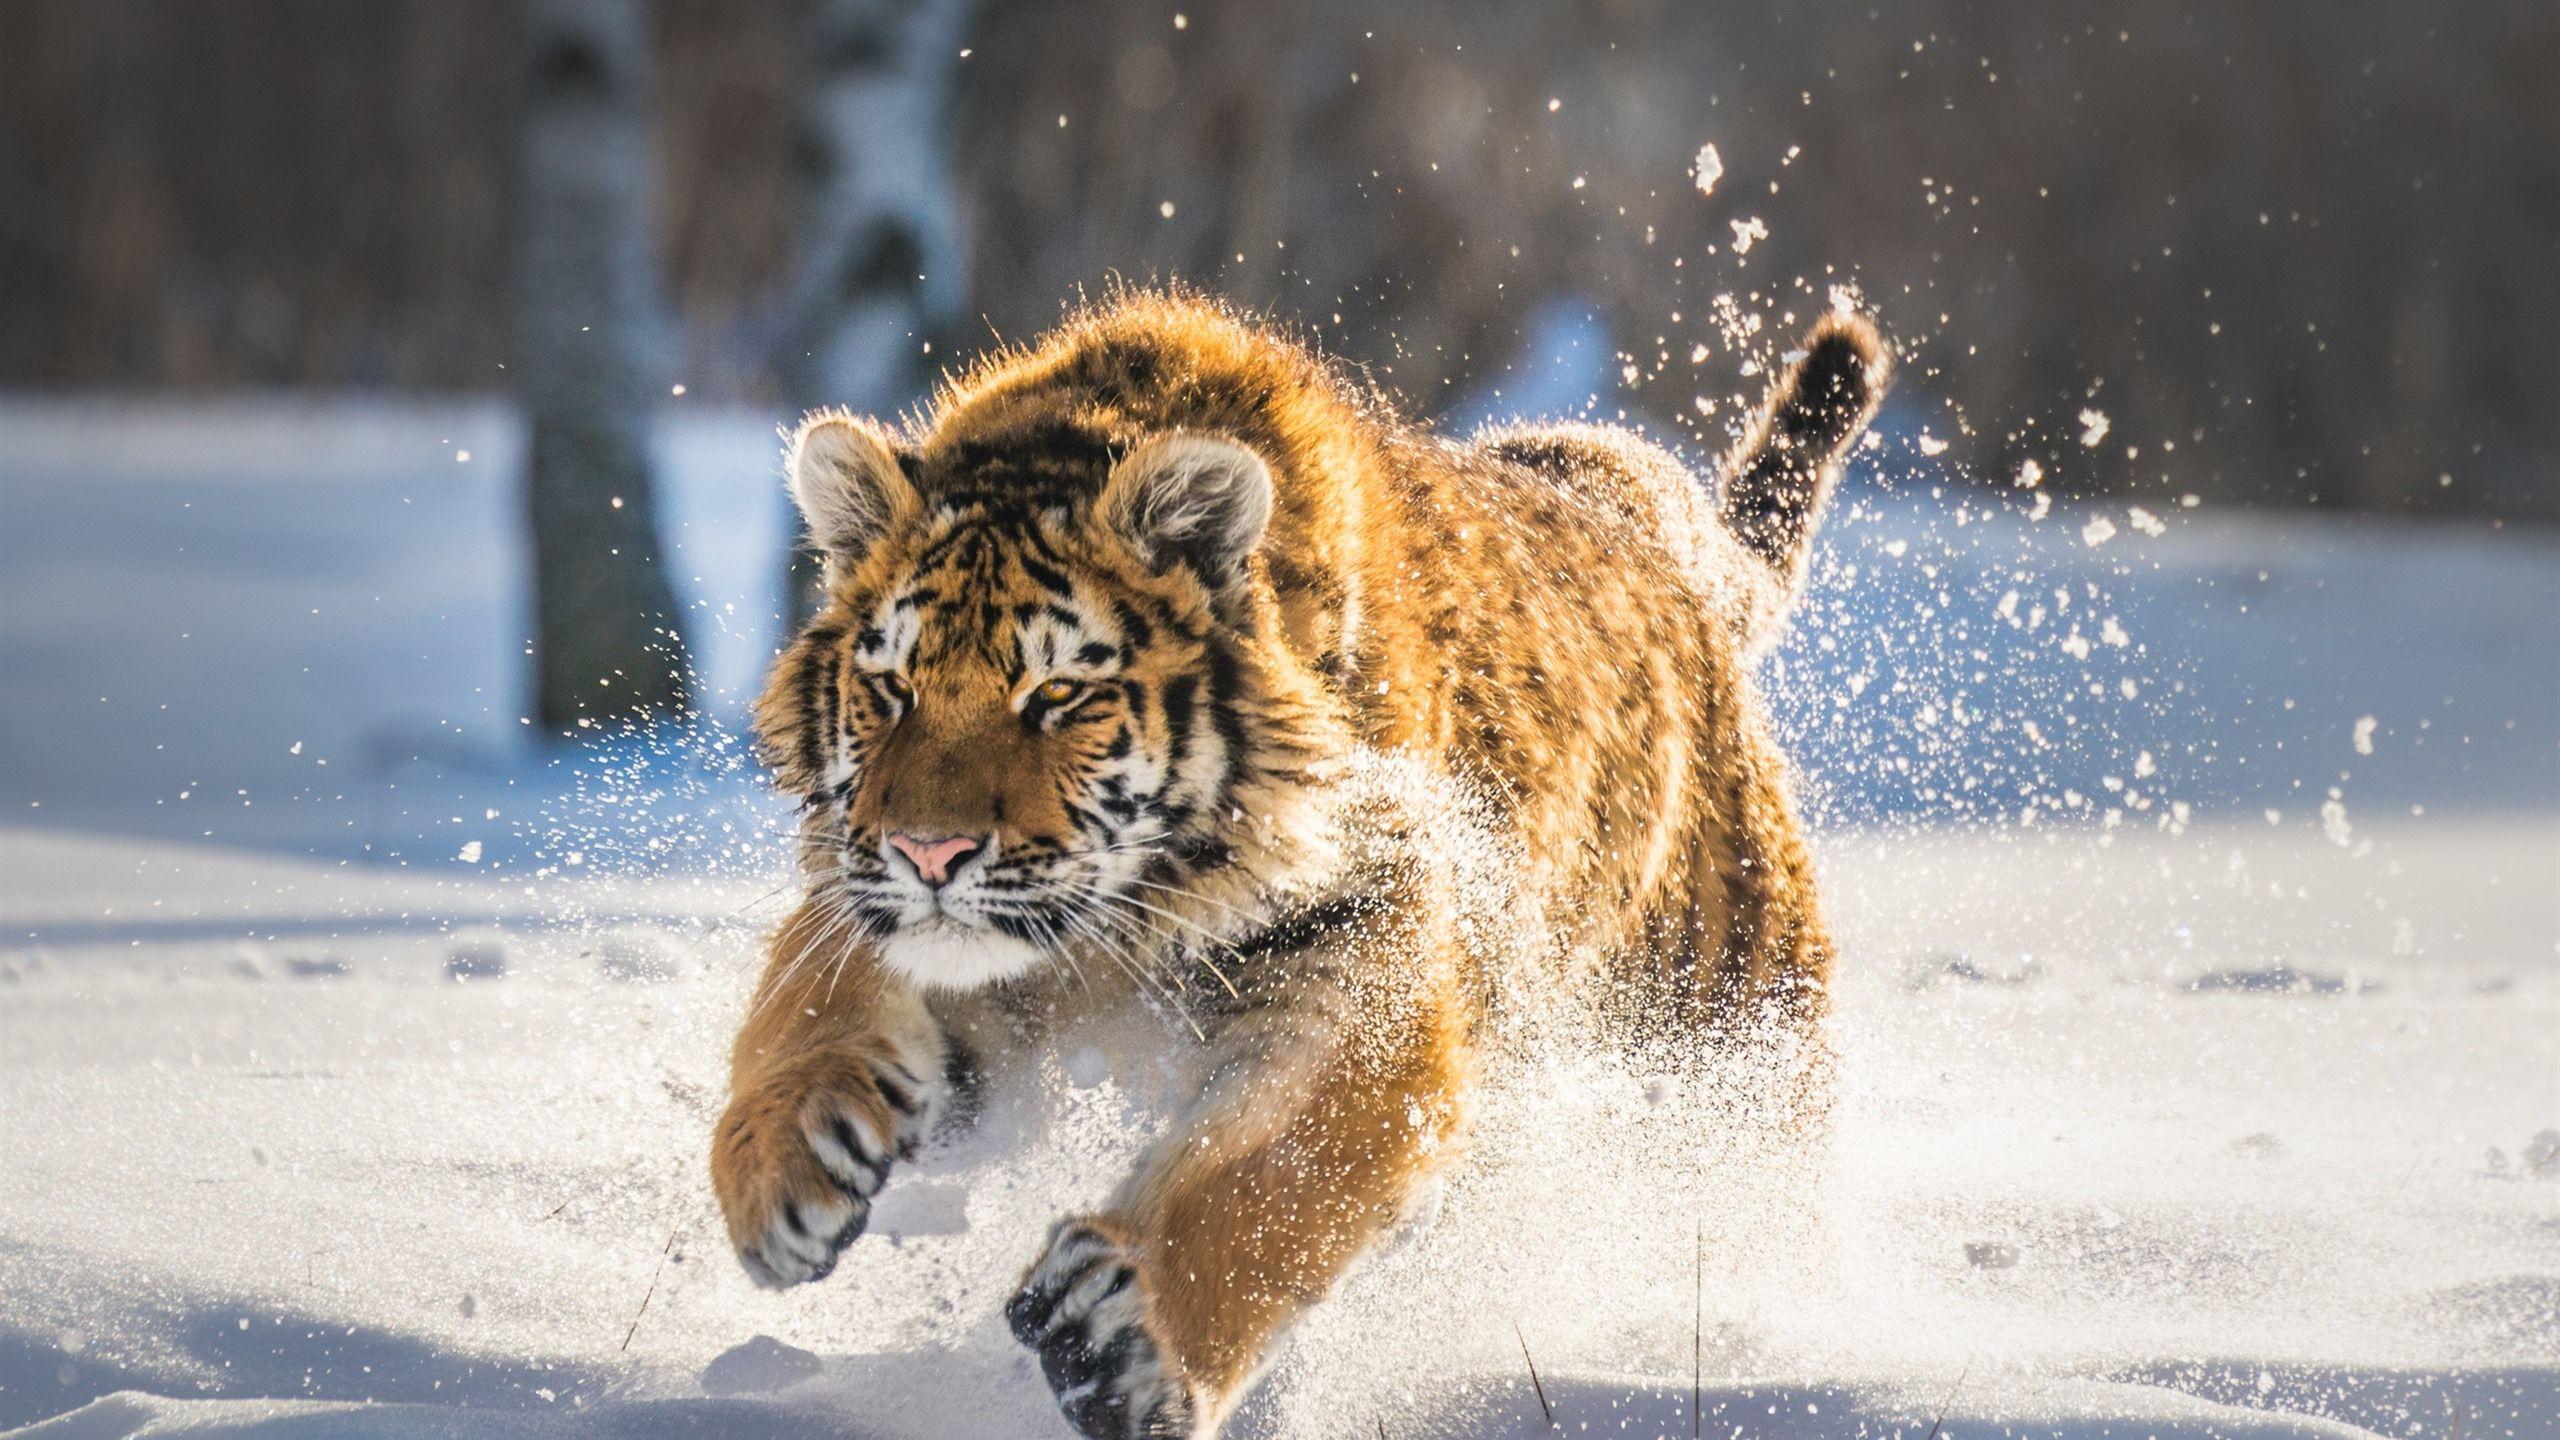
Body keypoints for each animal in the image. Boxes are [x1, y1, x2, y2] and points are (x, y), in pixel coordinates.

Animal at [710, 290, 1887, 1438]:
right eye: (891, 688)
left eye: (1058, 695)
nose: (931, 851)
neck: (1123, 921)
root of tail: (1654, 528)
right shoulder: (893, 912)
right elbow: (804, 1002)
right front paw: (781, 1169)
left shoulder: (1365, 975)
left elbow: (1273, 1176)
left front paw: (1124, 1337)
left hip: (1731, 1036)